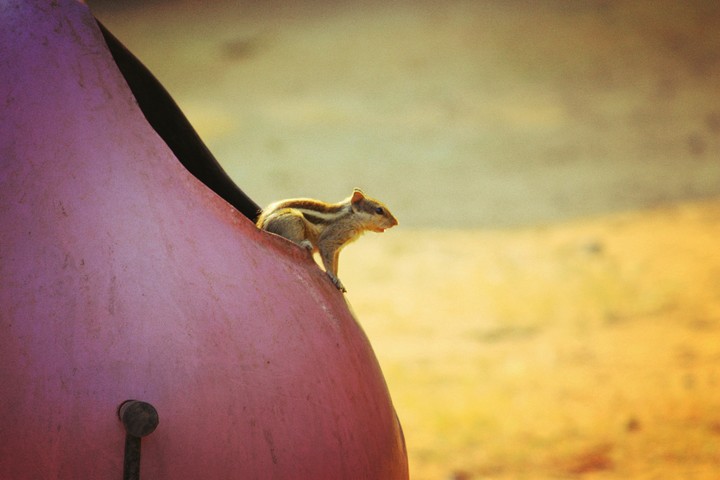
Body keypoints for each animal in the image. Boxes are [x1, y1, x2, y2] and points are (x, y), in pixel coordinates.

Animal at [256, 188, 398, 292]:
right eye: (379, 210)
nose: (396, 222)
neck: (350, 218)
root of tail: (261, 225)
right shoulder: (330, 240)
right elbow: (328, 260)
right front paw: (333, 278)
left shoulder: (338, 249)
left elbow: (336, 264)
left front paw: (338, 278)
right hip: (293, 219)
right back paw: (304, 243)